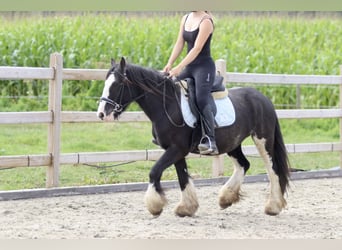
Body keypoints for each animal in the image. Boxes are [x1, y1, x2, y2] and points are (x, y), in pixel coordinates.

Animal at [97, 58, 290, 217]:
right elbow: (182, 176)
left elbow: (155, 171)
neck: (168, 105)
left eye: (118, 84)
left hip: (263, 140)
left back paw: (273, 206)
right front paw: (186, 208)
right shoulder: (175, 150)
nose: (101, 114)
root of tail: (264, 98)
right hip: (233, 143)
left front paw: (155, 206)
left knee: (272, 169)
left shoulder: (176, 149)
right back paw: (226, 198)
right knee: (244, 164)